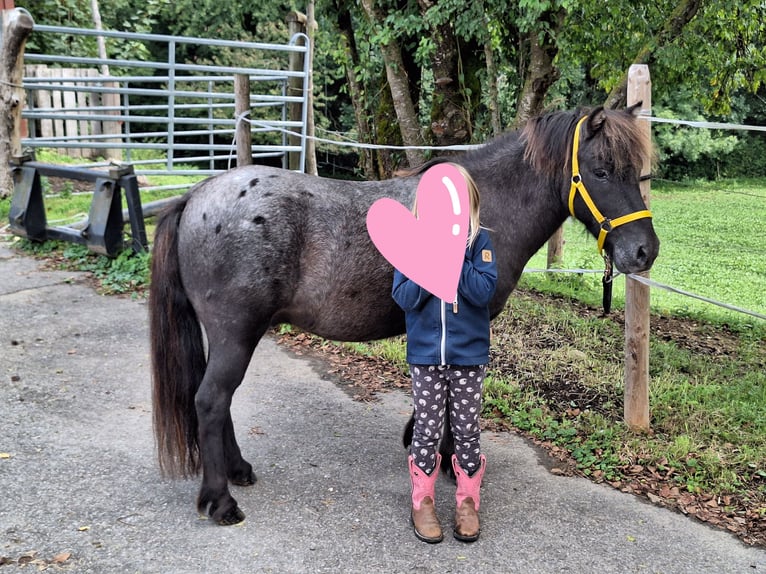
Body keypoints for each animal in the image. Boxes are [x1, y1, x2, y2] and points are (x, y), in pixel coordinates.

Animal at [148, 106, 660, 528]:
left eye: (639, 173)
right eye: (601, 171)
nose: (644, 251)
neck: (484, 205)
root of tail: (195, 198)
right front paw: (448, 459)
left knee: (218, 401)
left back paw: (238, 470)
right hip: (236, 334)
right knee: (211, 401)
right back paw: (221, 501)